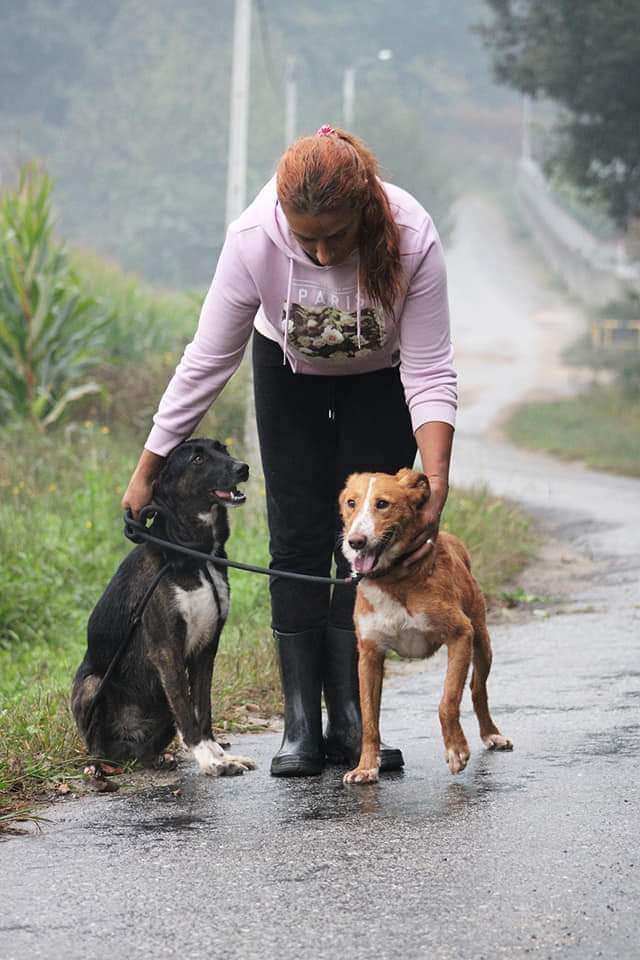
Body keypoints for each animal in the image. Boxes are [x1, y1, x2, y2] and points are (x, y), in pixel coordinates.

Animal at [71, 438, 256, 776]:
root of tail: (126, 744)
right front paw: (209, 760)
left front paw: (220, 754)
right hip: (92, 687)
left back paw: (157, 759)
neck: (195, 554)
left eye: (222, 448)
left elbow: (202, 708)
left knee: (141, 752)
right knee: (98, 747)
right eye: (198, 459)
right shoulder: (166, 649)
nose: (243, 467)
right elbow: (186, 710)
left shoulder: (207, 648)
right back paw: (99, 769)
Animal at [338, 468, 512, 784]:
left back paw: (491, 734)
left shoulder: (461, 635)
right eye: (351, 503)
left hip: (482, 641)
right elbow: (368, 717)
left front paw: (456, 750)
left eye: (382, 504)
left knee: (477, 688)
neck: (393, 579)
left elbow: (448, 701)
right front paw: (366, 766)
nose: (355, 541)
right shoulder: (369, 654)